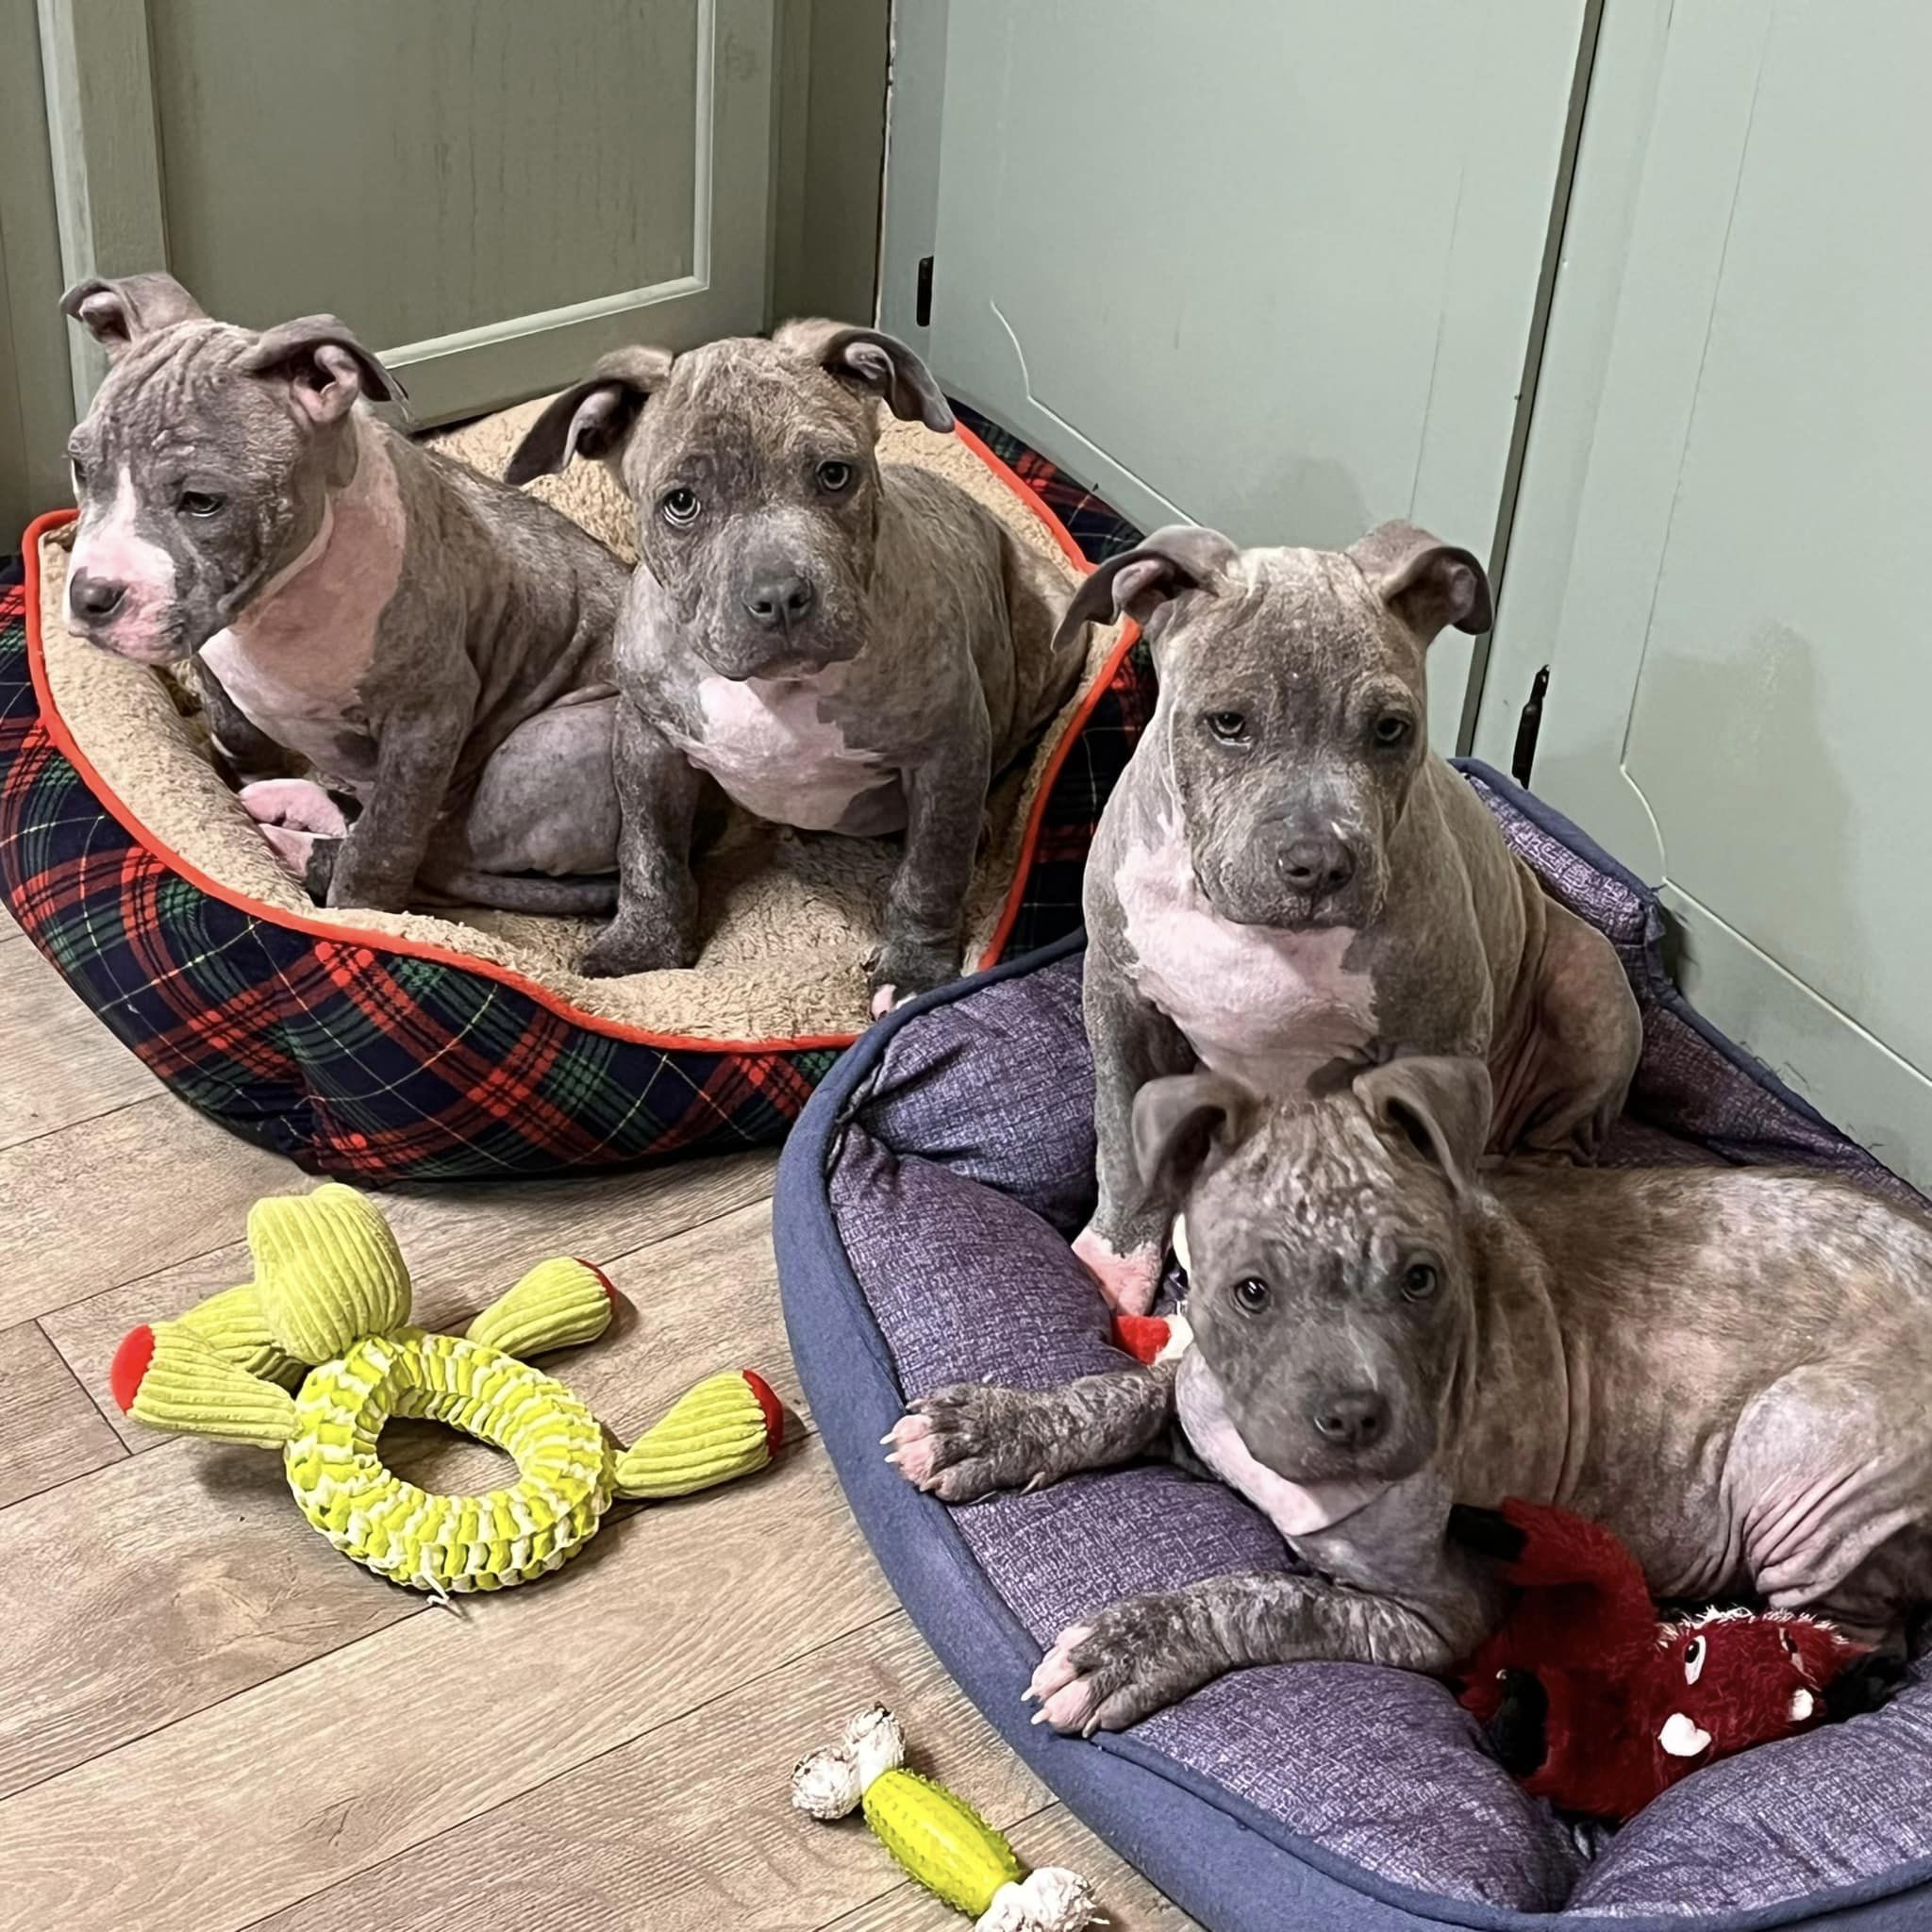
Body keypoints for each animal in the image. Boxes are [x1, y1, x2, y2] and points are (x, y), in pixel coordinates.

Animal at [58, 266, 625, 919]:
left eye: (202, 501)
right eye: (80, 467)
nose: (91, 595)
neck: (276, 609)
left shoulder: (429, 718)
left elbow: (384, 842)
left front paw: (360, 908)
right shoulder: (207, 651)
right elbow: (237, 734)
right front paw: (250, 782)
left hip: (546, 746)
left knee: (438, 851)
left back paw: (294, 839)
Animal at [506, 323, 1081, 989]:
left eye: (834, 474)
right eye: (681, 503)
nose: (780, 597)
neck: (776, 691)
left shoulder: (948, 748)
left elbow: (931, 870)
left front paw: (914, 973)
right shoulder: (648, 743)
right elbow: (649, 853)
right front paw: (641, 946)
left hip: (1053, 633)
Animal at [892, 1066, 1932, 1746]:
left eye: (1421, 1280)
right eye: (1250, 1291)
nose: (1355, 1420)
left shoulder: (1439, 1614)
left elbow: (1268, 1596)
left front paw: (1129, 1645)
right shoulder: (1197, 1397)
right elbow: (1118, 1392)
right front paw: (985, 1426)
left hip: (1794, 1458)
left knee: (1838, 1643)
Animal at [1066, 521, 1638, 1321]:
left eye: (1392, 729)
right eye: (1228, 724)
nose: (1319, 863)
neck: (1261, 935)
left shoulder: (1441, 1033)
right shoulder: (1122, 1006)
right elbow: (1121, 1140)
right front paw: (1116, 1263)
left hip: (1592, 990)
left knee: (1555, 1149)